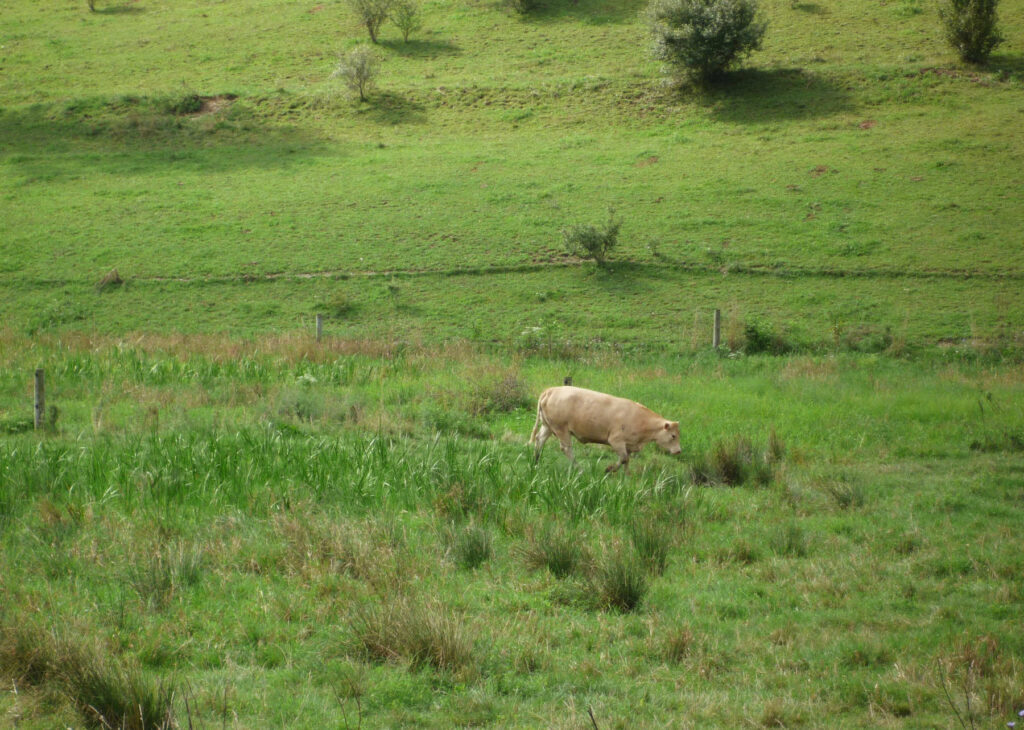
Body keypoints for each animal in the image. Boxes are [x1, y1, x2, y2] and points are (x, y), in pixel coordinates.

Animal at [528, 384, 679, 475]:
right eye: (673, 436)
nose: (678, 451)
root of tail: (551, 390)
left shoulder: (629, 445)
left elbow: (627, 460)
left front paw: (627, 476)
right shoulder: (616, 440)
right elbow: (623, 458)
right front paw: (609, 469)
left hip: (548, 426)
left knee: (539, 439)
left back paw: (536, 461)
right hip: (561, 429)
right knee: (566, 449)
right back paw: (579, 468)